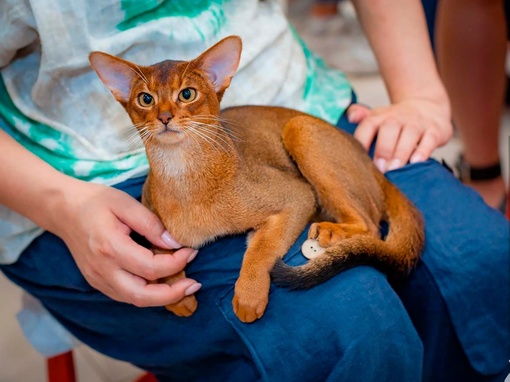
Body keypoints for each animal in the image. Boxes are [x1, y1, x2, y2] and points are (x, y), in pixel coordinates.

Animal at [89, 35, 424, 322]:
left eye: (187, 94)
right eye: (145, 99)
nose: (164, 117)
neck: (183, 177)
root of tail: (370, 162)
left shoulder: (296, 197)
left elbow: (261, 250)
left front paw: (248, 296)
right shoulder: (153, 216)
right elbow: (158, 249)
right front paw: (177, 294)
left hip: (299, 128)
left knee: (370, 226)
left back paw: (332, 232)